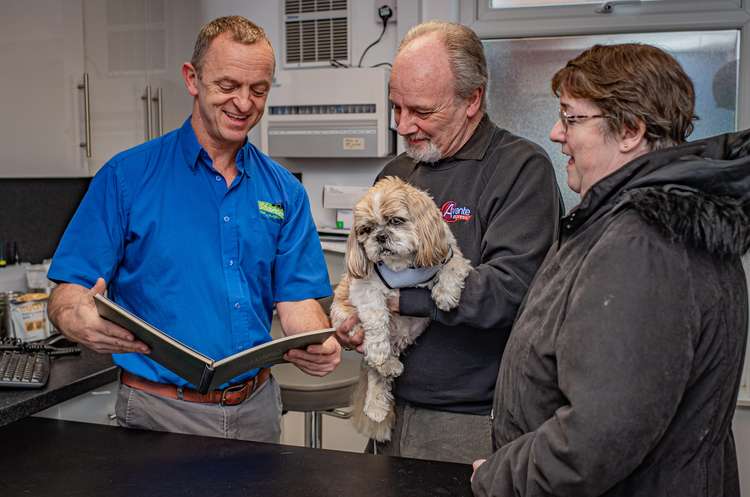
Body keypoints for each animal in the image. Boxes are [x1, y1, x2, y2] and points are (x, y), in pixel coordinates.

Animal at [332, 176, 472, 440]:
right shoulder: (365, 289)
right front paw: (379, 350)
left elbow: (452, 267)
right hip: (348, 321)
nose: (380, 237)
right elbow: (376, 319)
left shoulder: (450, 254)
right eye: (366, 230)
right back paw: (384, 378)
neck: (403, 266)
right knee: (374, 364)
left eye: (396, 221)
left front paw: (446, 294)